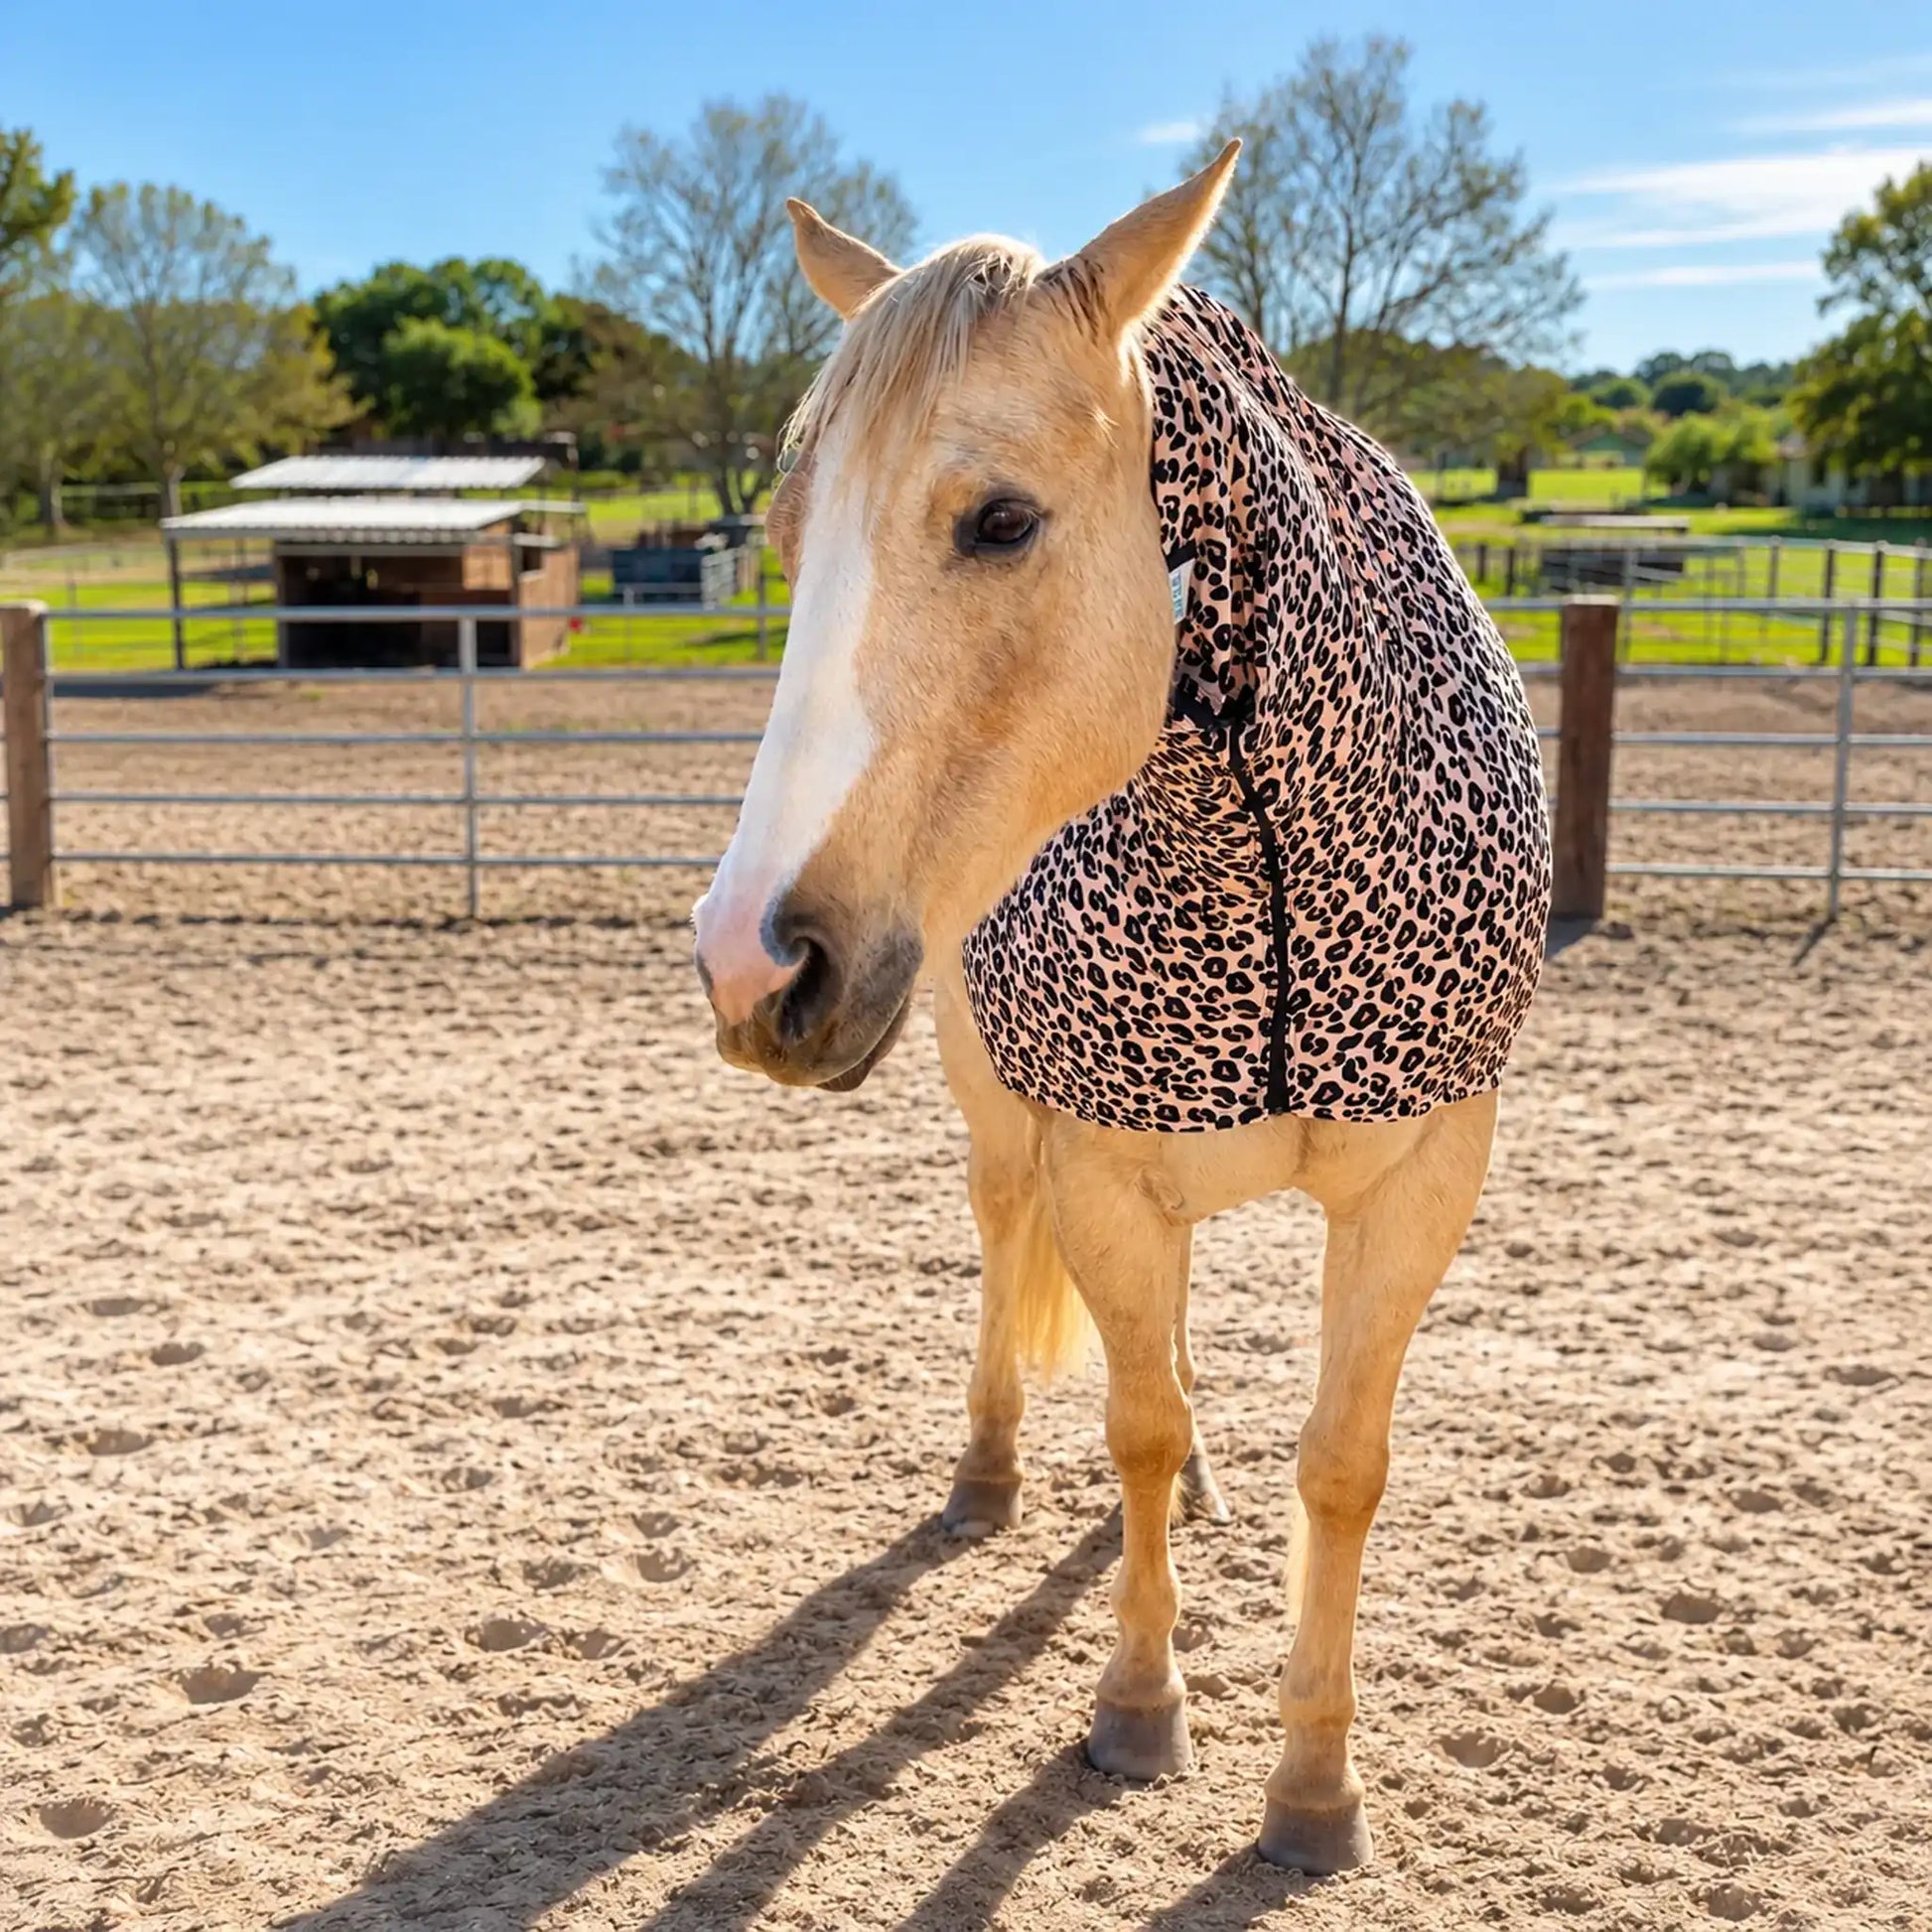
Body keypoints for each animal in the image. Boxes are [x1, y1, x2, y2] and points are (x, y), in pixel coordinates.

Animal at [691, 143, 1552, 1873]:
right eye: (785, 539)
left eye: (1000, 519)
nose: (751, 964)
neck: (1262, 859)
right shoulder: (1099, 1164)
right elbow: (1135, 1426)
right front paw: (1141, 1712)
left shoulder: (1425, 1181)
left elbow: (1341, 1465)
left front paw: (1312, 1788)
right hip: (997, 1108)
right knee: (1008, 1245)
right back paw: (985, 1475)